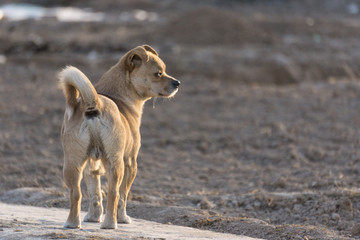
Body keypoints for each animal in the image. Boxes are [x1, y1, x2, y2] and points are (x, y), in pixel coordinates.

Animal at [58, 45, 180, 229]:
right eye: (159, 73)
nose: (177, 83)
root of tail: (94, 103)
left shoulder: (91, 168)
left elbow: (95, 194)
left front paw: (93, 217)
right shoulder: (131, 163)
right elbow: (123, 195)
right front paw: (122, 218)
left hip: (73, 163)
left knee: (76, 193)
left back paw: (72, 223)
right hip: (116, 164)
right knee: (114, 193)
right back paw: (110, 223)